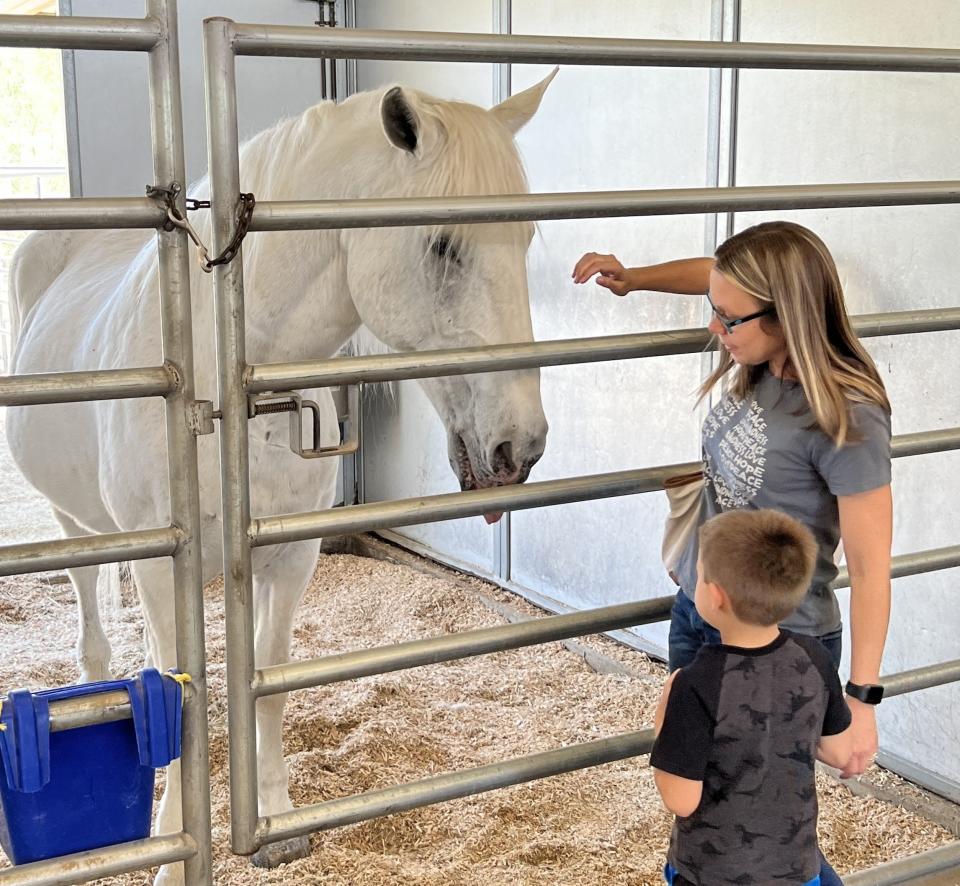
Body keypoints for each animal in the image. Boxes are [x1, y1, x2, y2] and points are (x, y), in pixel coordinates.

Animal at [5, 73, 556, 884]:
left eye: (525, 241)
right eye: (442, 245)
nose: (521, 445)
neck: (226, 390)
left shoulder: (289, 559)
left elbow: (267, 681)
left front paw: (277, 822)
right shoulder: (166, 567)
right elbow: (178, 692)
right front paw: (173, 851)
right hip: (80, 525)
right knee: (93, 614)